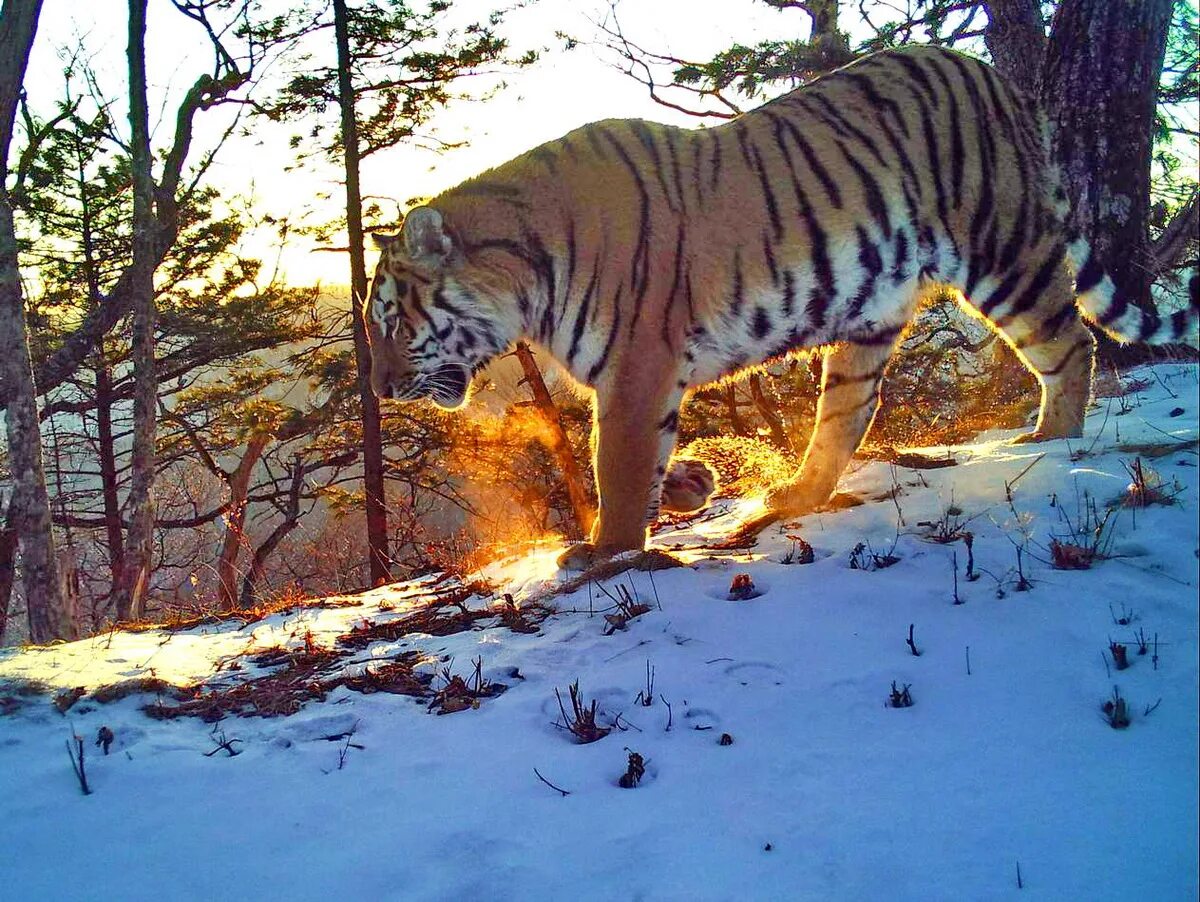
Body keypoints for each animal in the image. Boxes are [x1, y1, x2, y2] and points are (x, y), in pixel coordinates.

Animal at [364, 44, 1200, 570]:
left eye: (390, 322)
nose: (379, 387)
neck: (525, 276)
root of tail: (996, 76)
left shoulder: (636, 368)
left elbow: (618, 466)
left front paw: (605, 549)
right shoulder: (646, 378)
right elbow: (646, 461)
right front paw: (691, 483)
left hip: (1005, 250)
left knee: (1070, 344)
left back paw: (1050, 440)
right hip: (870, 314)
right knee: (848, 413)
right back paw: (797, 490)